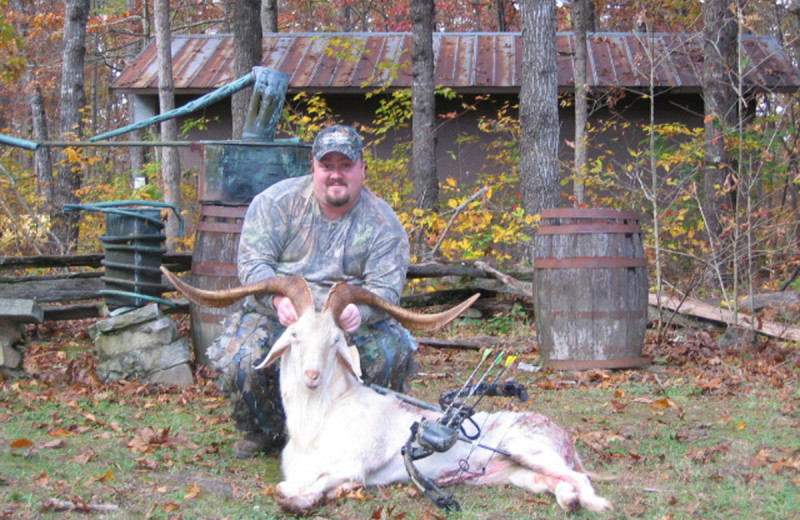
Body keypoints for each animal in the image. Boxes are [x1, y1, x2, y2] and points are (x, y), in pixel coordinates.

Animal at [161, 268, 612, 516]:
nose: (311, 375)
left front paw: (312, 497)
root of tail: (562, 435)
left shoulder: (354, 464)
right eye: (294, 334)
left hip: (527, 449)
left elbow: (306, 489)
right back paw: (570, 502)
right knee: (557, 484)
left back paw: (597, 505)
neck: (317, 425)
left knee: (578, 478)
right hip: (515, 474)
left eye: (335, 340)